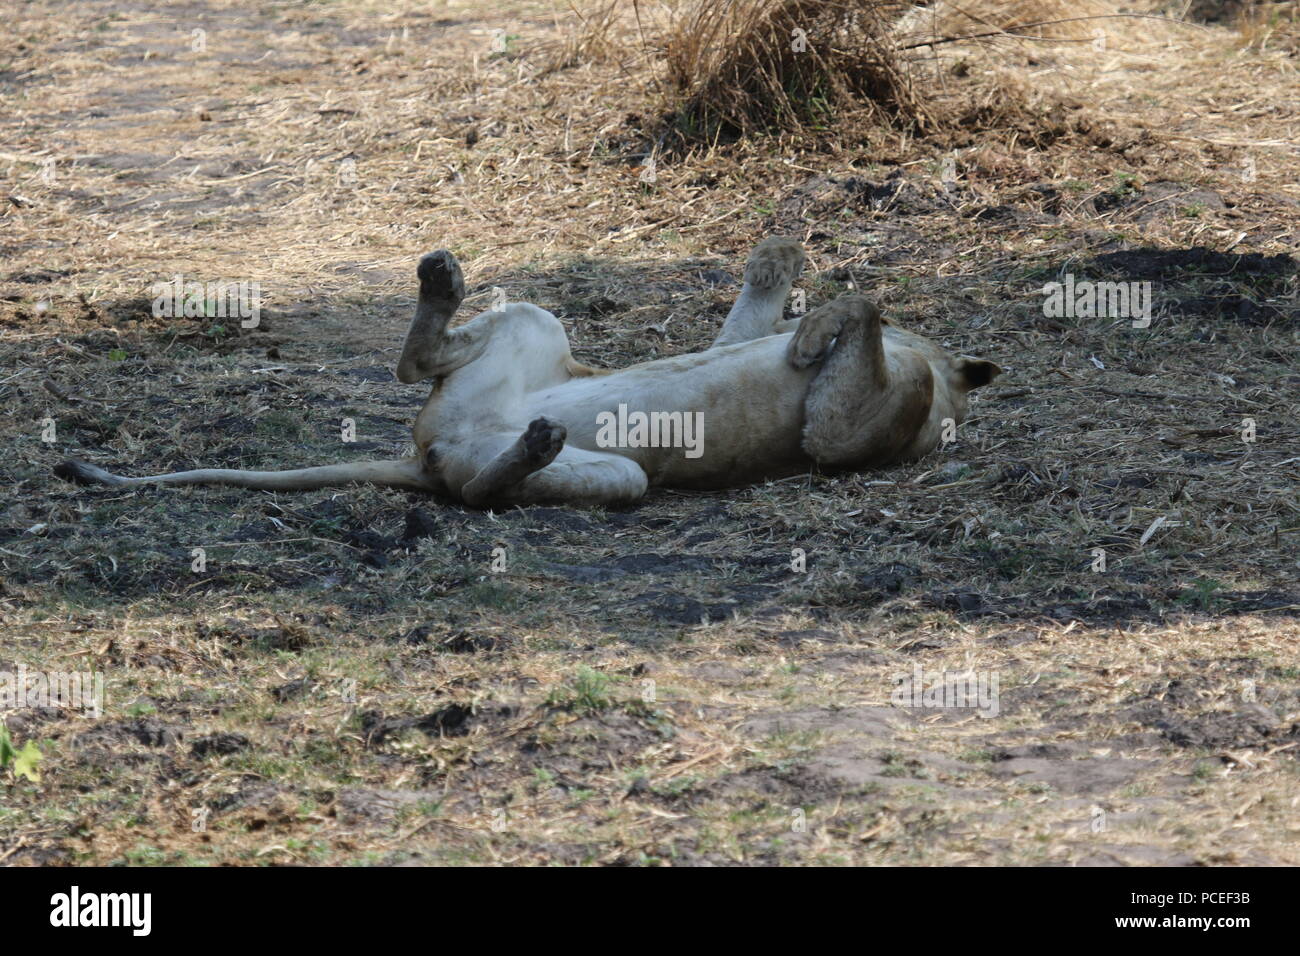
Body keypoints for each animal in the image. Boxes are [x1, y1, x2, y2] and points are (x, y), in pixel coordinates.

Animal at [55, 239, 998, 509]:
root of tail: (425, 451)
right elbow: (767, 315)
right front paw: (782, 262)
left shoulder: (843, 439)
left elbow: (868, 309)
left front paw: (815, 336)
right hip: (537, 326)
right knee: (417, 360)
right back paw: (441, 279)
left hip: (617, 476)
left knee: (477, 494)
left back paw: (533, 447)